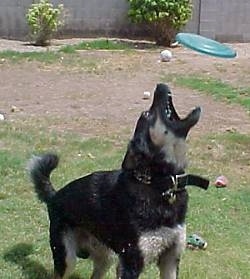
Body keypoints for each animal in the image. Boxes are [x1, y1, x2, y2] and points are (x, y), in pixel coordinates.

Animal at [27, 83, 209, 279]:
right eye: (147, 114)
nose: (160, 85)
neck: (159, 183)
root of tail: (54, 196)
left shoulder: (171, 258)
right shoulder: (131, 261)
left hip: (106, 257)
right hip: (68, 257)